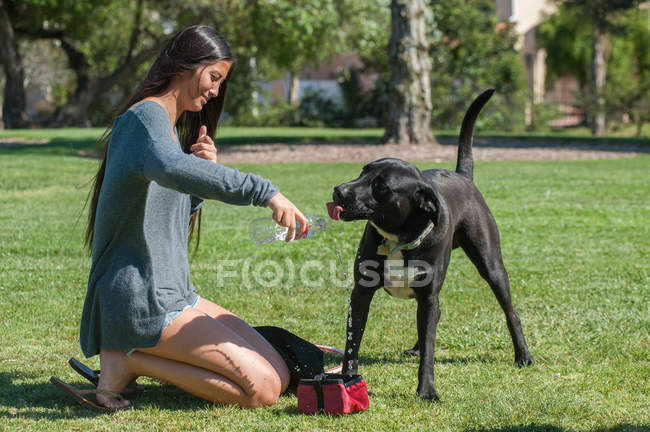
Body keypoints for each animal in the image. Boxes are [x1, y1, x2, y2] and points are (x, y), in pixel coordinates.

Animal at [324, 88, 532, 402]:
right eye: (362, 172)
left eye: (381, 187)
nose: (339, 190)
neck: (398, 238)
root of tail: (462, 175)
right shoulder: (361, 293)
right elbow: (353, 341)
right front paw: (348, 379)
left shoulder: (428, 293)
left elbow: (430, 349)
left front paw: (427, 390)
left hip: (491, 264)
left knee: (510, 312)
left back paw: (522, 355)